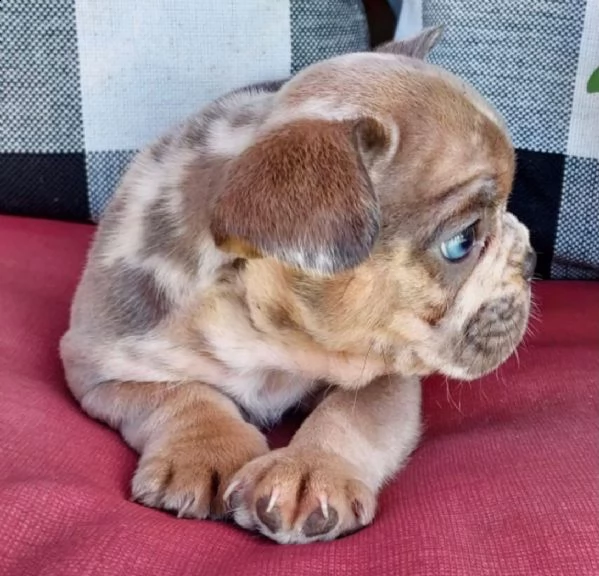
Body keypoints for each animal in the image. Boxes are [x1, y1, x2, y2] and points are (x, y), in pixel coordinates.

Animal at [61, 25, 536, 540]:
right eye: (462, 242)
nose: (531, 259)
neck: (265, 331)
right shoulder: (104, 364)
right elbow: (182, 393)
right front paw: (206, 451)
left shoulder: (388, 375)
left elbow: (350, 415)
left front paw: (310, 469)